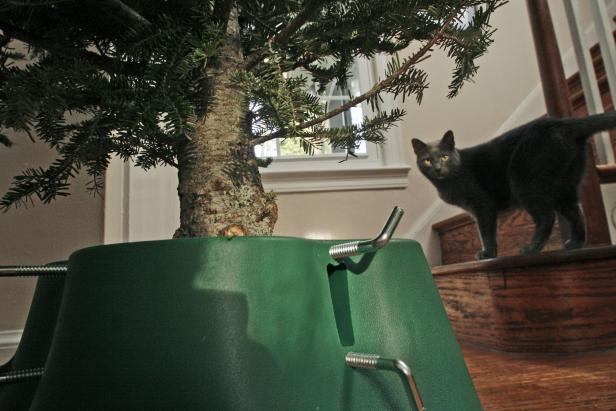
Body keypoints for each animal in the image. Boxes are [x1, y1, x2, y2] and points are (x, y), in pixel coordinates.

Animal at [412, 112, 616, 260]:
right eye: (427, 160)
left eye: (444, 157)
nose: (437, 168)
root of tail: (565, 122)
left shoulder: (483, 206)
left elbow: (485, 232)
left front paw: (488, 254)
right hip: (564, 185)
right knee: (577, 213)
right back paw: (574, 244)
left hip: (526, 183)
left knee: (547, 217)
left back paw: (531, 248)